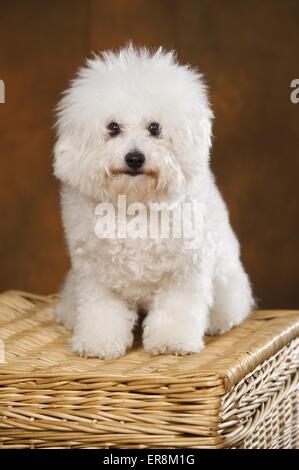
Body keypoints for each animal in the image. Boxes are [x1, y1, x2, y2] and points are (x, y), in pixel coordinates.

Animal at [53, 45, 253, 360]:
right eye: (113, 127)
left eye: (155, 128)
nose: (135, 157)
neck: (135, 204)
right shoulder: (97, 278)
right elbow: (101, 313)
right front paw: (99, 343)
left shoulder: (184, 273)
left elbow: (176, 312)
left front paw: (173, 342)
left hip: (227, 281)